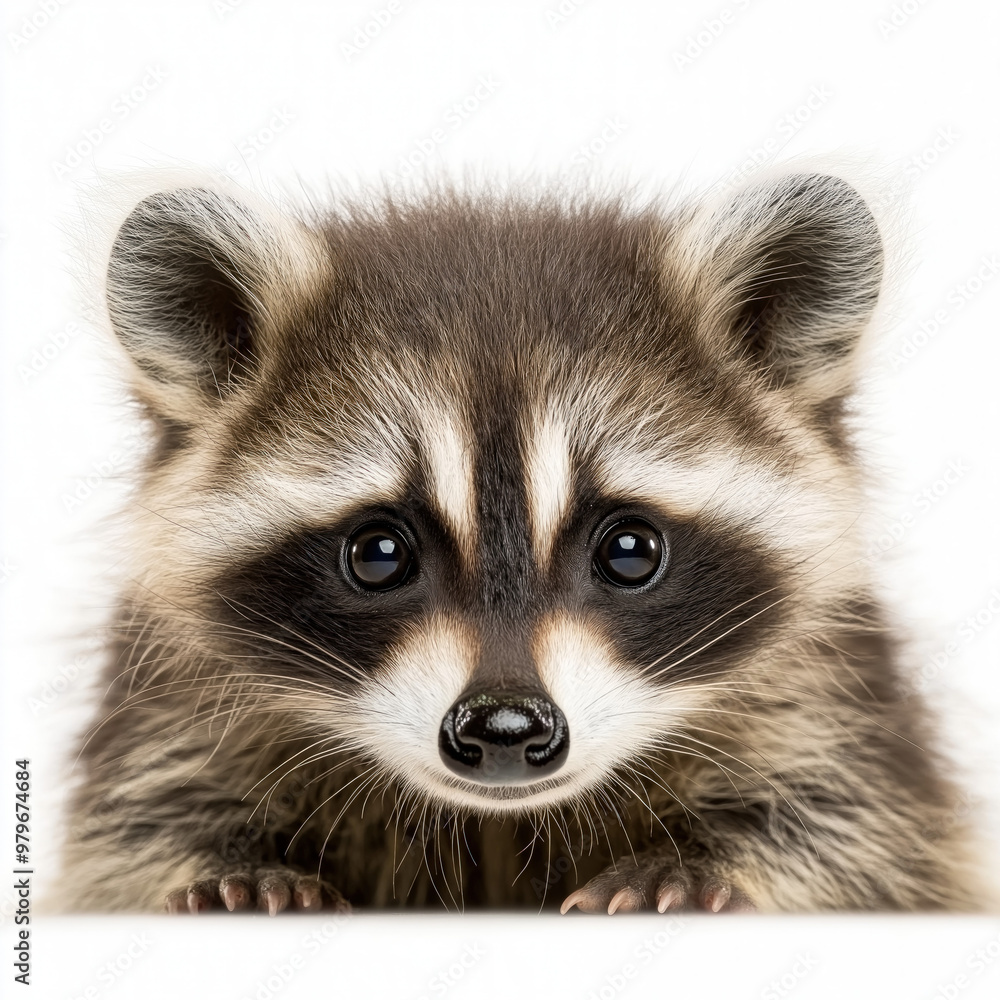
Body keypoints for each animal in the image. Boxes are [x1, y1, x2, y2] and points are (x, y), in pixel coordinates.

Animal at [61, 170, 981, 915]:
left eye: (630, 551)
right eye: (378, 555)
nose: (504, 727)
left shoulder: (830, 694)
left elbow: (849, 825)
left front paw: (692, 864)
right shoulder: (170, 697)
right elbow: (136, 830)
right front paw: (237, 867)